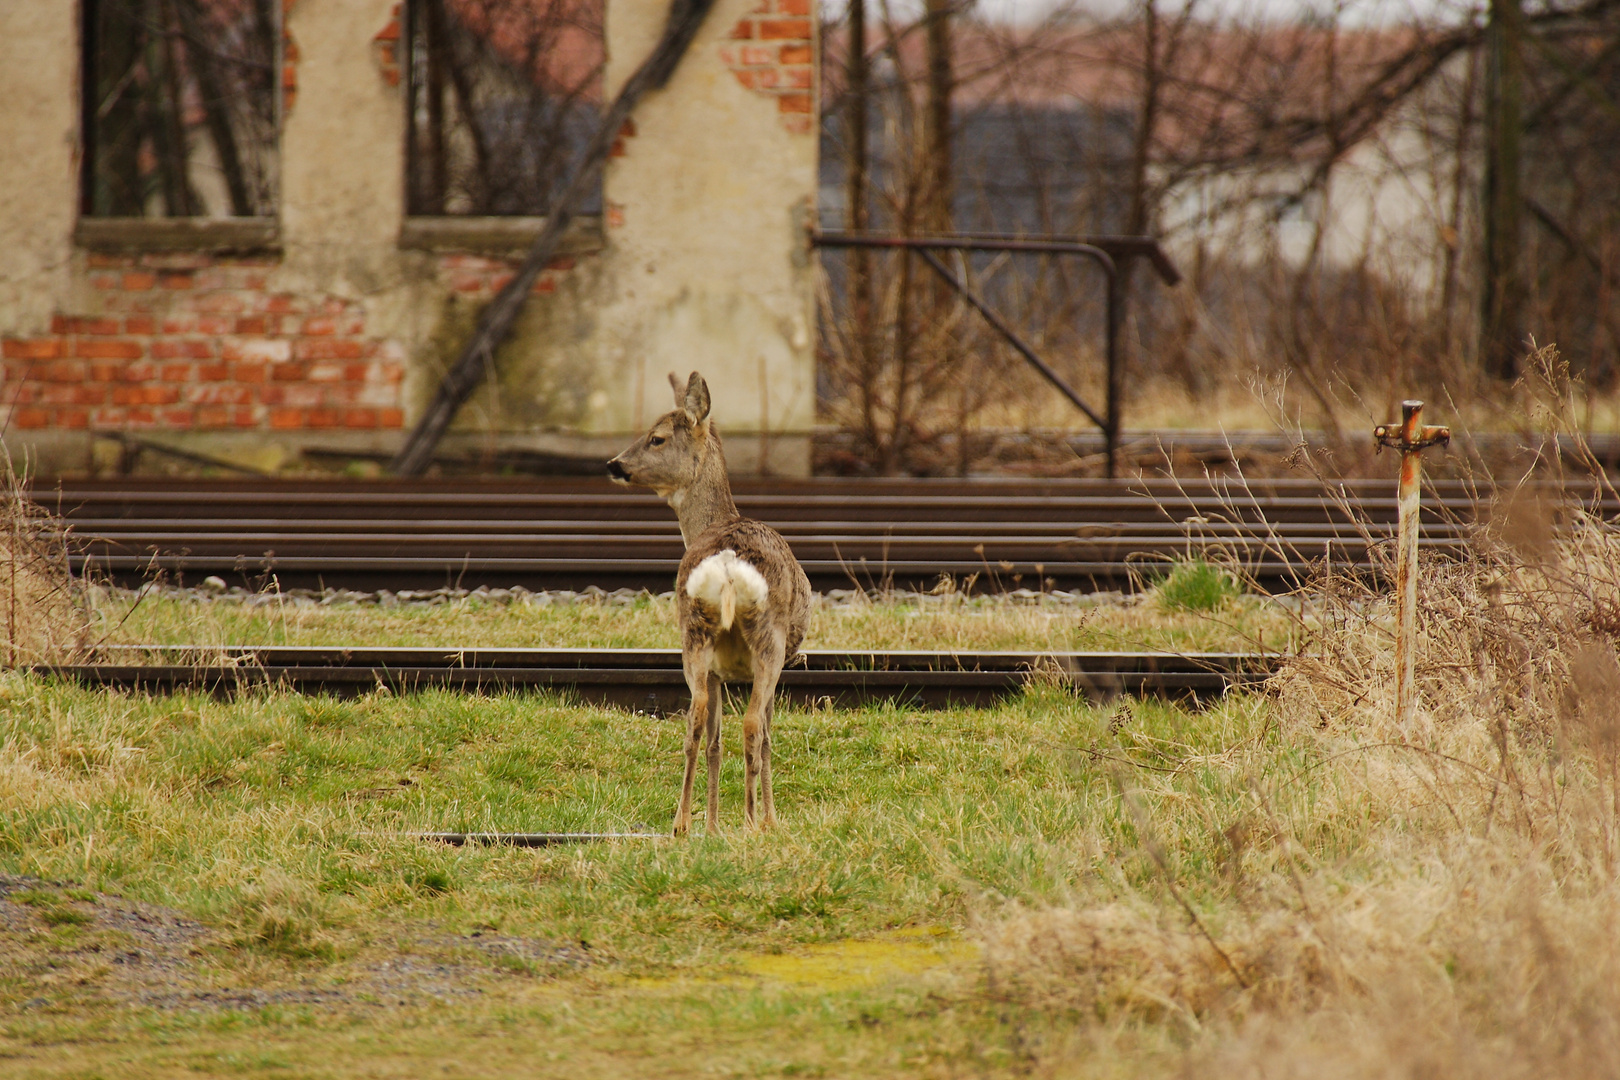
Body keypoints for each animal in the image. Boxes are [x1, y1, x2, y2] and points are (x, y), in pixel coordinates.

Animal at [609, 372, 810, 835]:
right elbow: (767, 736)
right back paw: (751, 821)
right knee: (753, 726)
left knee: (694, 720)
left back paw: (682, 822)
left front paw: (714, 825)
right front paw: (771, 819)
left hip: (693, 633)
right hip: (768, 642)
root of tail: (729, 565)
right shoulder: (777, 664)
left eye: (657, 438)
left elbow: (715, 742)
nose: (615, 464)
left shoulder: (718, 670)